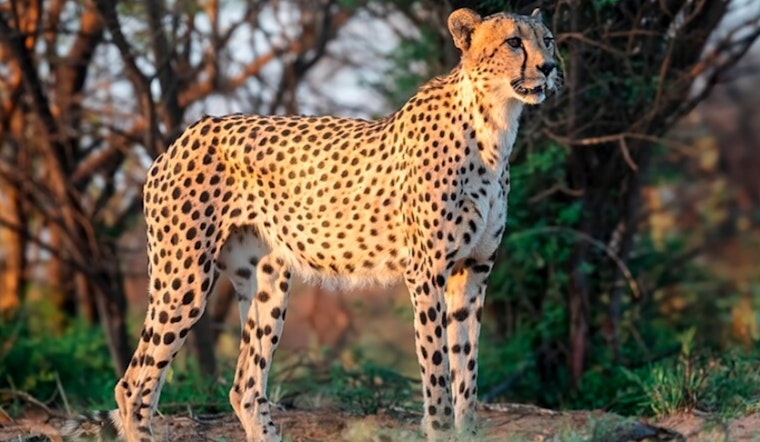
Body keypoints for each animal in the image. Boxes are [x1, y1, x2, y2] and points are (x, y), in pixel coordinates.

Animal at [64, 7, 562, 442]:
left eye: (548, 39)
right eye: (514, 42)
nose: (550, 67)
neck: (494, 125)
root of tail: (187, 132)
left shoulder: (472, 272)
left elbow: (466, 371)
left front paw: (467, 431)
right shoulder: (427, 273)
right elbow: (437, 370)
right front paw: (441, 431)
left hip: (267, 282)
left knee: (245, 387)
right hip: (183, 279)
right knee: (134, 385)